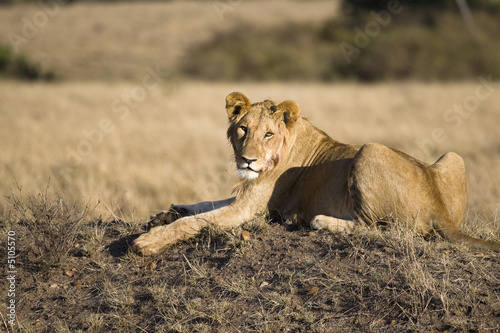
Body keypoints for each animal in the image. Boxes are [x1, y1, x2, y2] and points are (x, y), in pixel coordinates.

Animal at [133, 91, 500, 254]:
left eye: (268, 134)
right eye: (243, 129)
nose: (248, 161)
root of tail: (441, 212)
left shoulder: (249, 210)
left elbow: (195, 221)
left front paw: (149, 241)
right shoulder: (242, 199)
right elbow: (202, 205)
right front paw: (162, 214)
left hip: (370, 150)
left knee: (389, 230)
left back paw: (318, 221)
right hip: (453, 157)